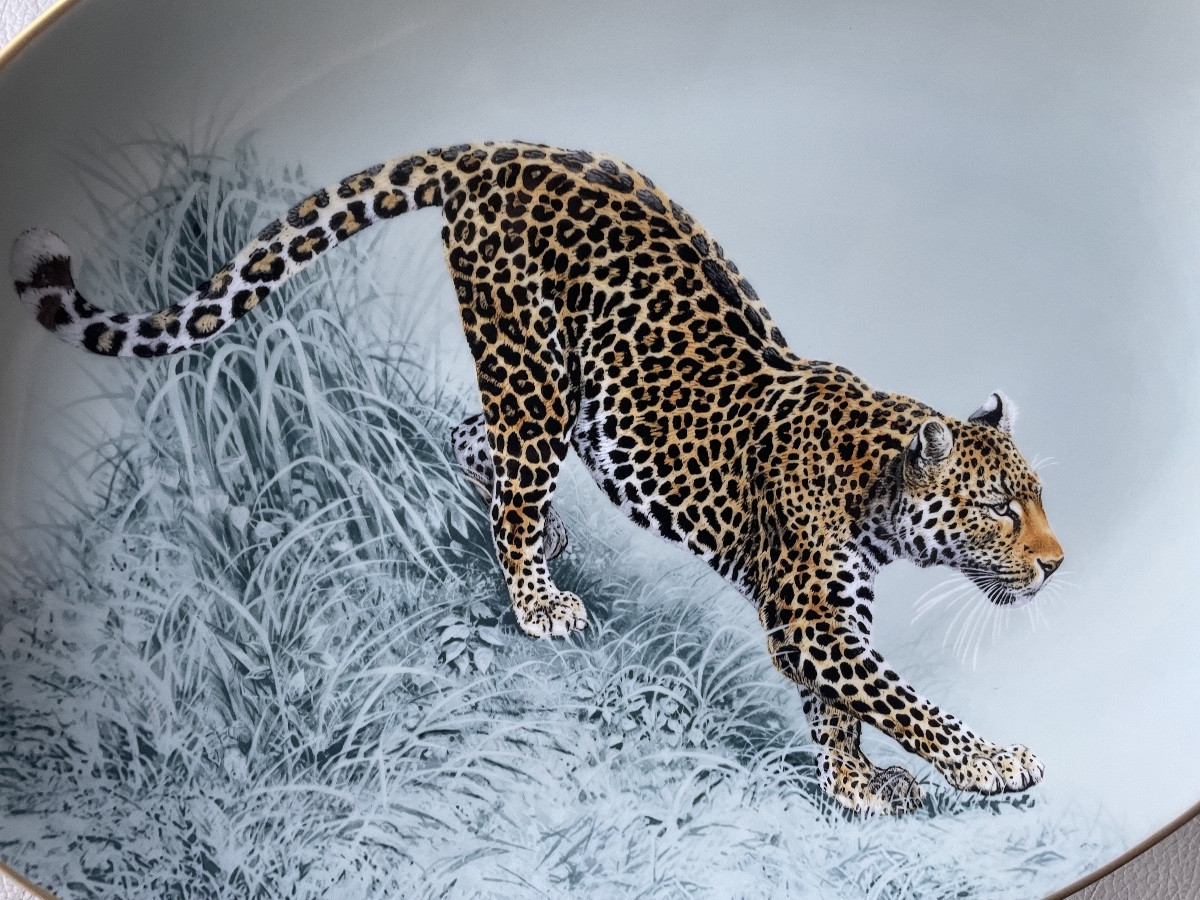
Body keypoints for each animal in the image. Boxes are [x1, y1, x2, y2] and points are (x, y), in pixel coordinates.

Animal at [10, 140, 1064, 815]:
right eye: (999, 507)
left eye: (1042, 500)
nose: (1057, 565)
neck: (877, 491)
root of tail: (497, 153)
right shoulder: (811, 616)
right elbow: (902, 704)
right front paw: (993, 765)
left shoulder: (824, 618)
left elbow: (839, 712)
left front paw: (856, 786)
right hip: (533, 369)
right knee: (507, 478)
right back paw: (537, 599)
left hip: (558, 397)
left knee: (468, 438)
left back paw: (541, 539)